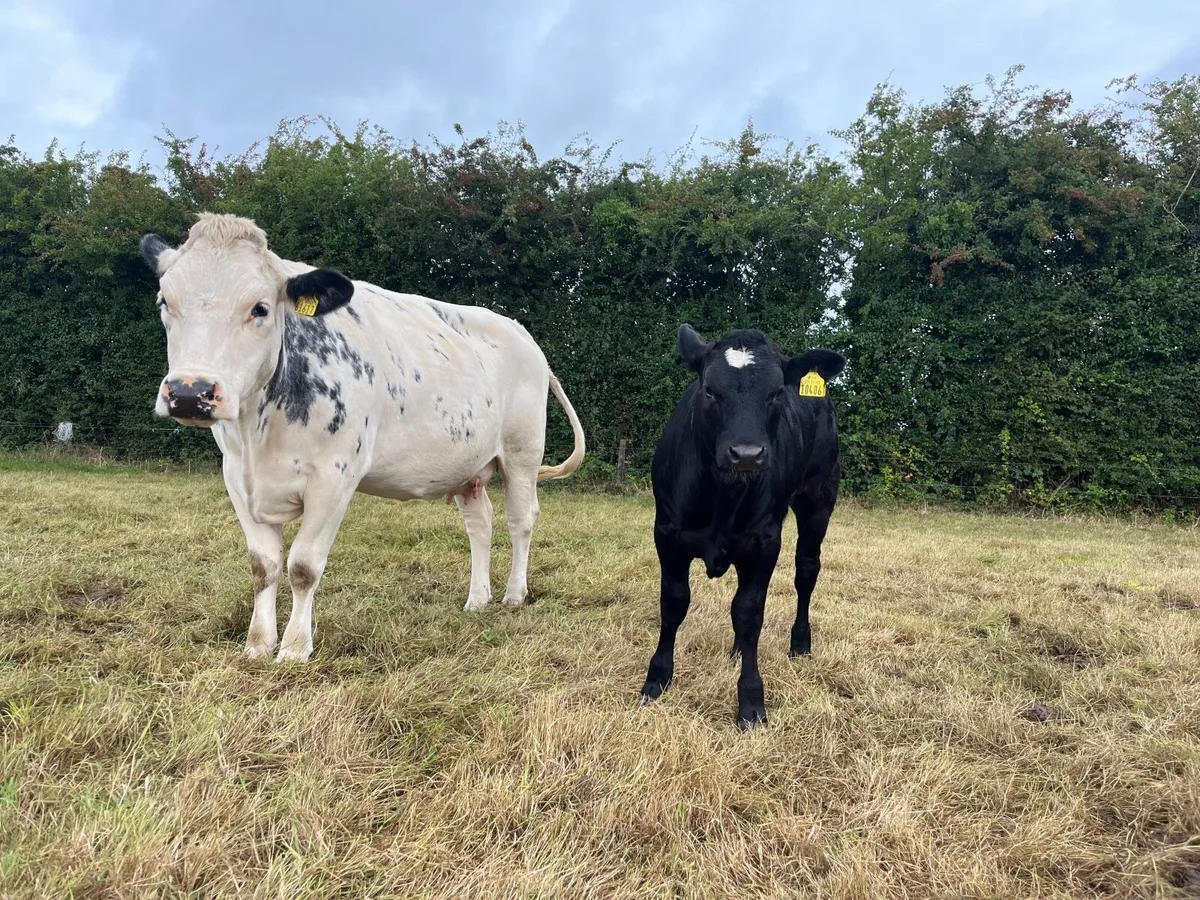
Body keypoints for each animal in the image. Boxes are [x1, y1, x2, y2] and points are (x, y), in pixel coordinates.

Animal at [139, 213, 585, 663]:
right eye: (165, 303)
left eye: (260, 308)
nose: (189, 392)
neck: (258, 436)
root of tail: (520, 332)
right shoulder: (236, 478)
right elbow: (263, 567)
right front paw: (258, 645)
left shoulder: (334, 477)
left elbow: (303, 566)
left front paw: (294, 649)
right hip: (467, 466)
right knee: (481, 523)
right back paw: (477, 599)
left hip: (522, 452)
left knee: (520, 518)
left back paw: (514, 595)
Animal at [638, 323, 846, 729]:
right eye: (709, 390)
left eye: (776, 392)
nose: (747, 454)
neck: (723, 494)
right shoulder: (666, 532)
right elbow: (674, 602)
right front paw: (657, 679)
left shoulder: (765, 540)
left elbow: (750, 613)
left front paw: (751, 701)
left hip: (819, 500)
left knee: (806, 572)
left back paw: (800, 642)